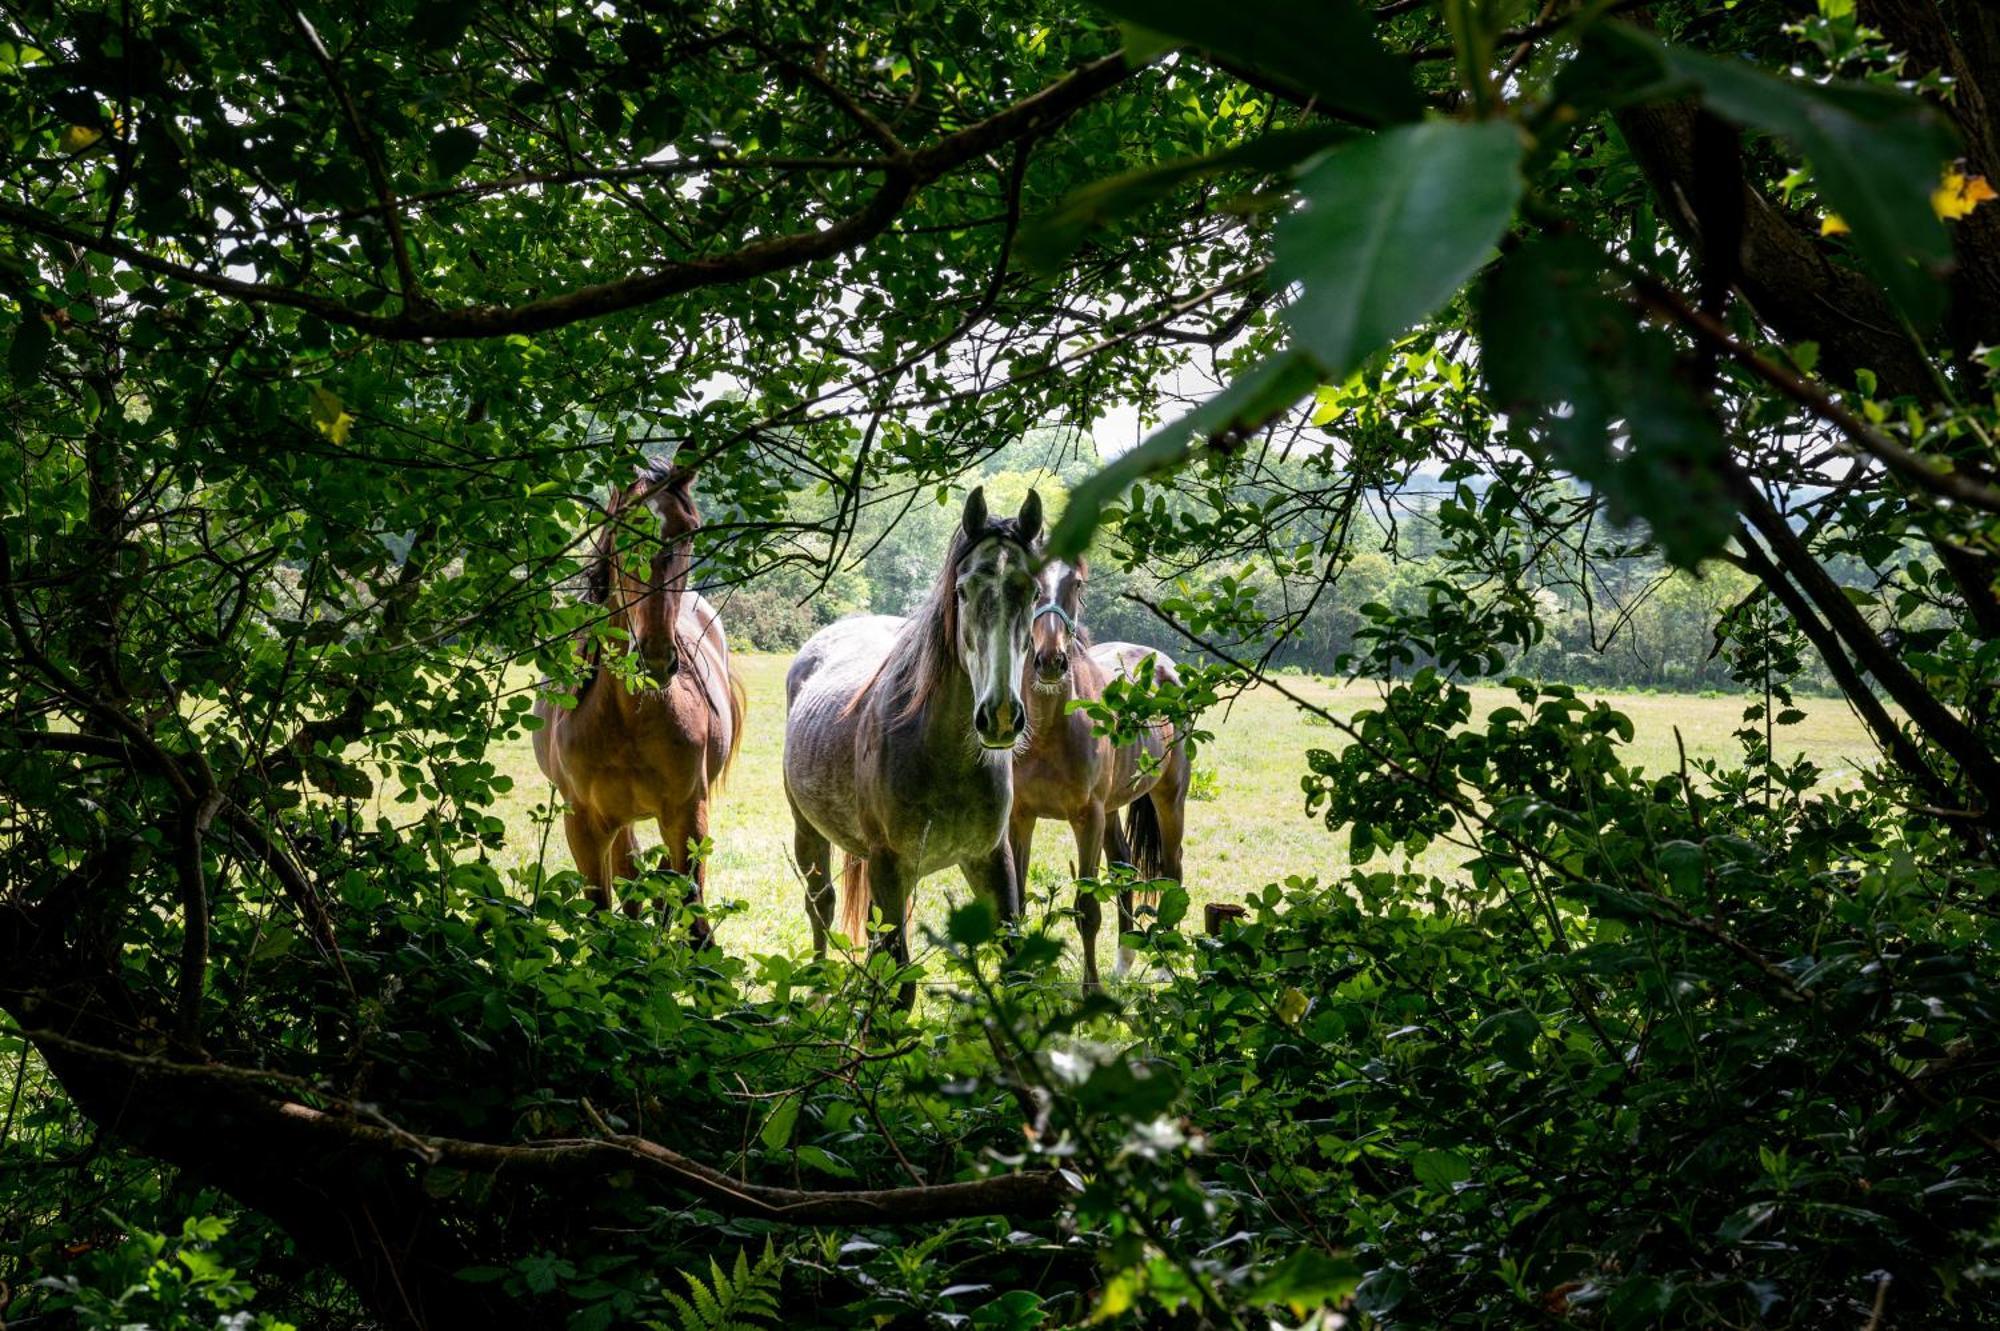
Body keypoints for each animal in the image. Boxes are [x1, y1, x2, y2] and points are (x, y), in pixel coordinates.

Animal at [536, 461, 748, 939]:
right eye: (624, 528)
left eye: (688, 530)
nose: (653, 656)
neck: (624, 719)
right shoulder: (583, 824)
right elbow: (600, 913)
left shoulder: (688, 814)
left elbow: (692, 915)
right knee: (629, 879)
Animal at [780, 487, 1040, 995]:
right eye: (962, 590)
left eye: (1035, 592)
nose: (1000, 716)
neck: (945, 756)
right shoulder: (888, 864)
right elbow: (897, 981)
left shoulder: (990, 858)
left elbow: (1017, 965)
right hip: (809, 833)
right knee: (820, 905)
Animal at [1016, 555, 1184, 983]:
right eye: (1029, 582)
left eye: (1076, 584)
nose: (1050, 661)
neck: (1047, 731)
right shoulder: (1019, 818)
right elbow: (1017, 901)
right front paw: (1015, 981)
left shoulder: (1086, 818)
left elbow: (1087, 911)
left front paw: (1090, 991)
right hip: (1111, 808)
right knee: (1124, 863)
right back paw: (1124, 958)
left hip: (1169, 797)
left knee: (1172, 870)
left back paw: (1165, 965)